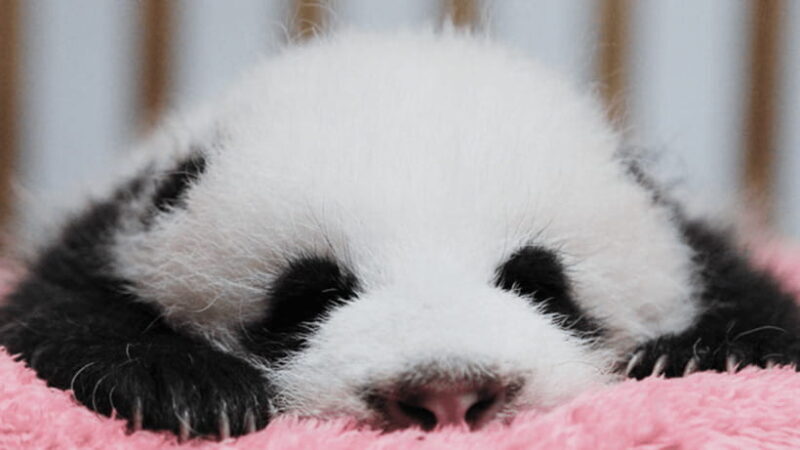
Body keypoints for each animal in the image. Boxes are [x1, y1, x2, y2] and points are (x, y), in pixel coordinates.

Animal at [1, 31, 799, 440]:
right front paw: (184, 386)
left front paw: (702, 351)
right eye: (309, 297)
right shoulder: (103, 230)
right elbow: (57, 313)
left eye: (541, 283)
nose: (448, 393)